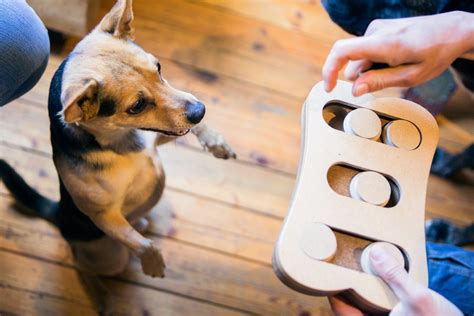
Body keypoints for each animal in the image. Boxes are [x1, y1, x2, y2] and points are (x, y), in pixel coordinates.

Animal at [0, 0, 236, 282]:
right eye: (137, 106)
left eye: (158, 67)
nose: (200, 110)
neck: (121, 142)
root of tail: (58, 214)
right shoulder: (105, 216)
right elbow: (141, 243)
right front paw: (152, 263)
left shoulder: (156, 137)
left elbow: (192, 128)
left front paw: (216, 142)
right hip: (109, 255)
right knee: (92, 259)